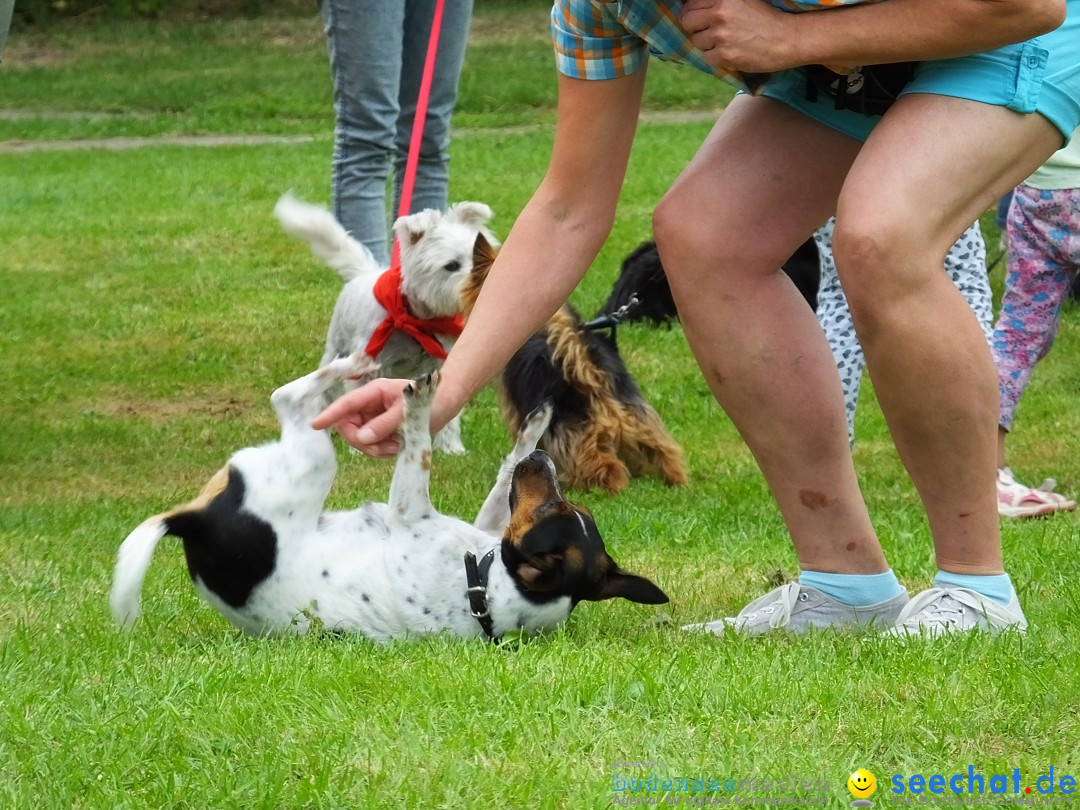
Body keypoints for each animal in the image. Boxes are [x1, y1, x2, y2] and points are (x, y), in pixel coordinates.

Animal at [272, 193, 492, 453]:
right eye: (451, 266)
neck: (416, 320)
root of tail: (364, 272)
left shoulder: (438, 366)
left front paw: (451, 448)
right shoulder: (367, 366)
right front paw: (359, 448)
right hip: (336, 348)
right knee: (323, 393)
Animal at [460, 236, 686, 494]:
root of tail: (592, 374)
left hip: (571, 435)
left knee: (606, 468)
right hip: (640, 418)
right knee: (665, 452)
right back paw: (675, 480)